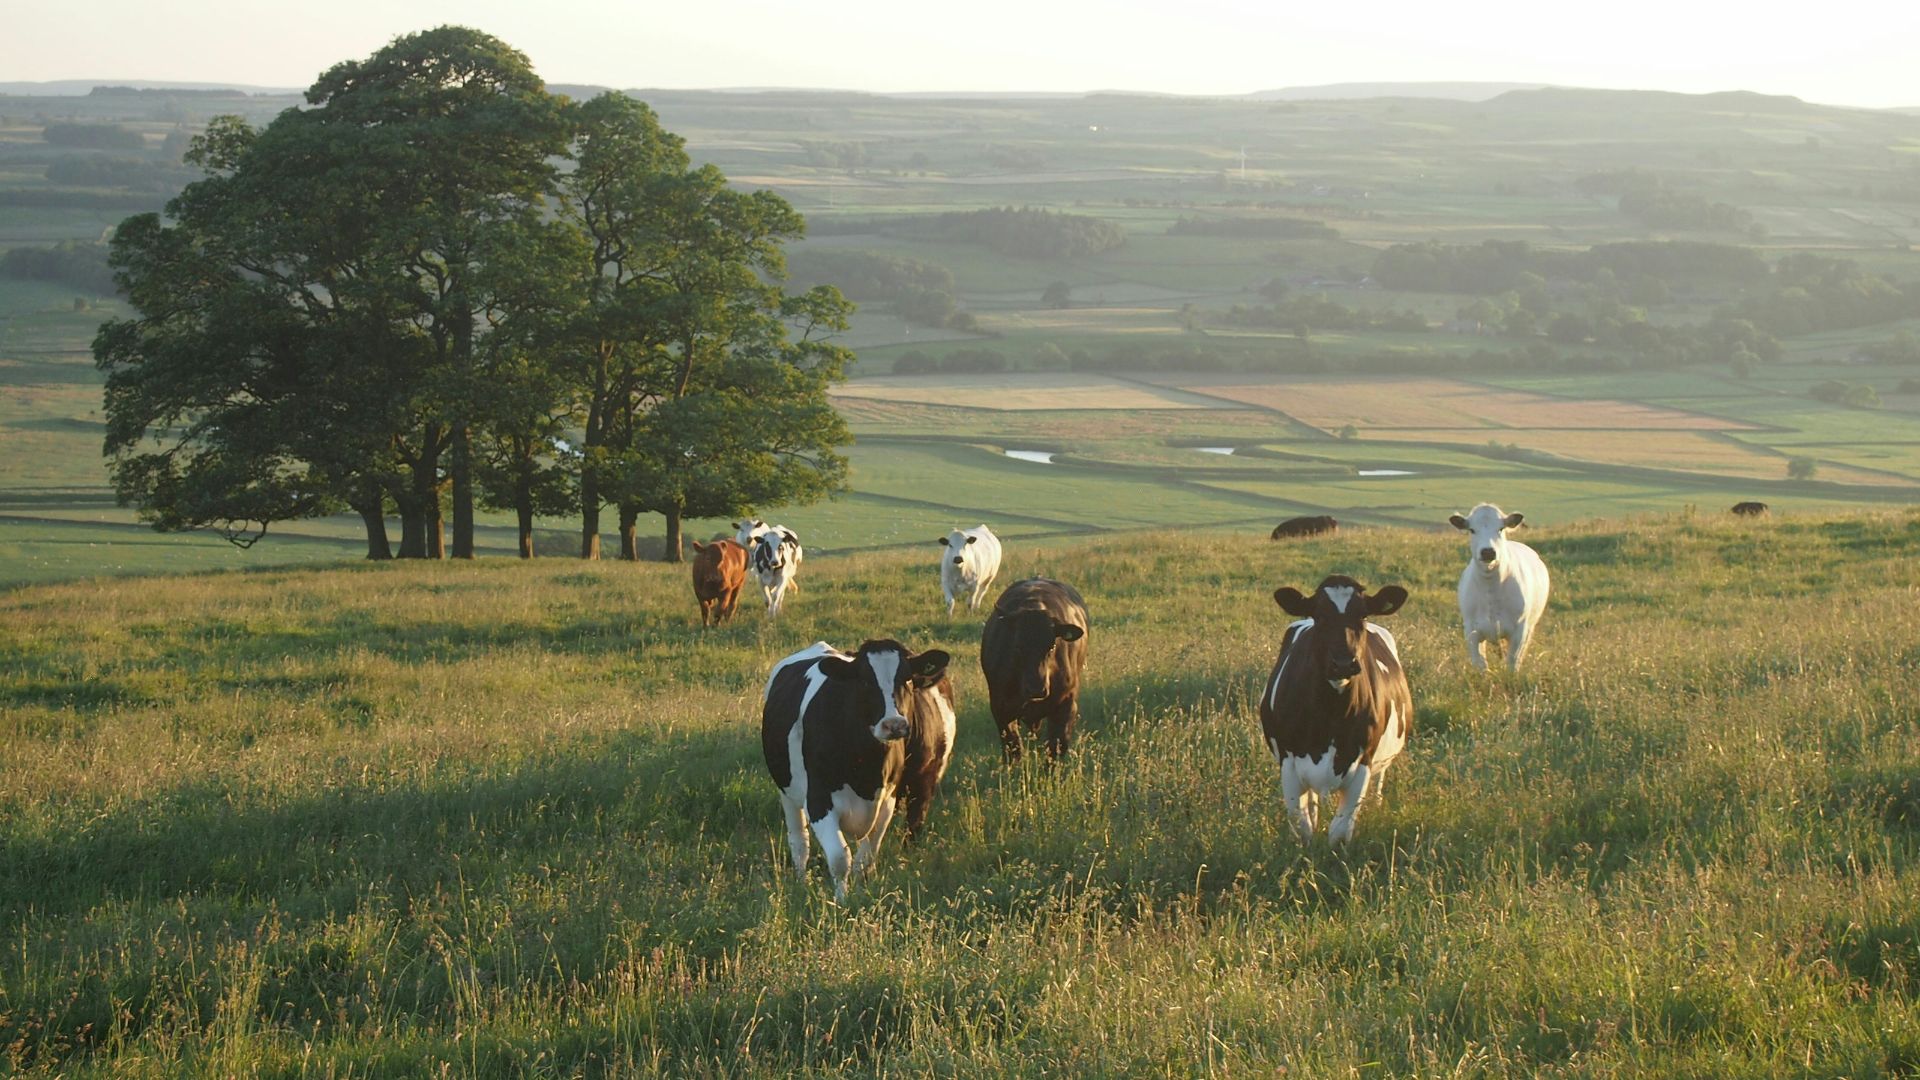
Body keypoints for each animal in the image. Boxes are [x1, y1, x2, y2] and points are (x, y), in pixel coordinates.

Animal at [761, 639, 955, 899]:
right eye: (864, 681)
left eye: (907, 679)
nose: (894, 724)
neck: (866, 769)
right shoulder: (818, 801)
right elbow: (840, 858)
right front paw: (841, 901)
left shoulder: (889, 801)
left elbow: (865, 859)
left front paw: (862, 893)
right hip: (787, 792)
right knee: (800, 843)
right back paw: (801, 883)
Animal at [980, 578, 1088, 763]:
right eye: (1017, 646)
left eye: (1052, 645)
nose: (1036, 688)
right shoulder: (1001, 708)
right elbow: (1013, 748)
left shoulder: (1066, 706)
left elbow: (1055, 749)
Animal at [1261, 575, 1412, 846]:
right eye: (1320, 615)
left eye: (1362, 615)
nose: (1343, 663)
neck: (1330, 714)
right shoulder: (1289, 762)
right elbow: (1302, 828)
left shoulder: (1363, 761)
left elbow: (1340, 832)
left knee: (1378, 784)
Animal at [1450, 502, 1551, 673]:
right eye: (1472, 530)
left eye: (1501, 528)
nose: (1488, 552)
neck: (1490, 588)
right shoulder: (1471, 630)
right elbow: (1481, 665)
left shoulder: (1520, 630)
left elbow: (1512, 663)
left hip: (1529, 627)